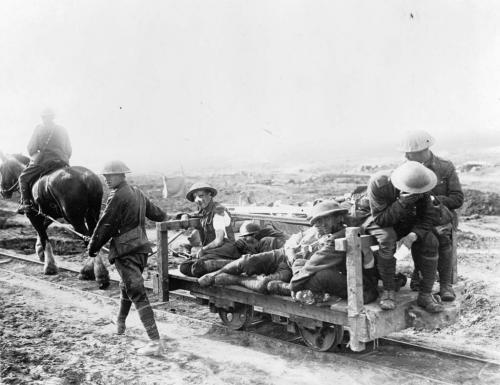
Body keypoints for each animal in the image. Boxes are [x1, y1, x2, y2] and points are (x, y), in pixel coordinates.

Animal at [0, 151, 110, 288]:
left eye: (1, 168)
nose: (3, 192)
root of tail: (87, 178)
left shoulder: (33, 215)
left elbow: (43, 235)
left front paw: (49, 266)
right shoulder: (51, 214)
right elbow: (43, 229)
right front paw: (40, 251)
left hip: (75, 219)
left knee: (88, 238)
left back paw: (99, 274)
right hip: (92, 215)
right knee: (94, 239)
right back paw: (89, 270)